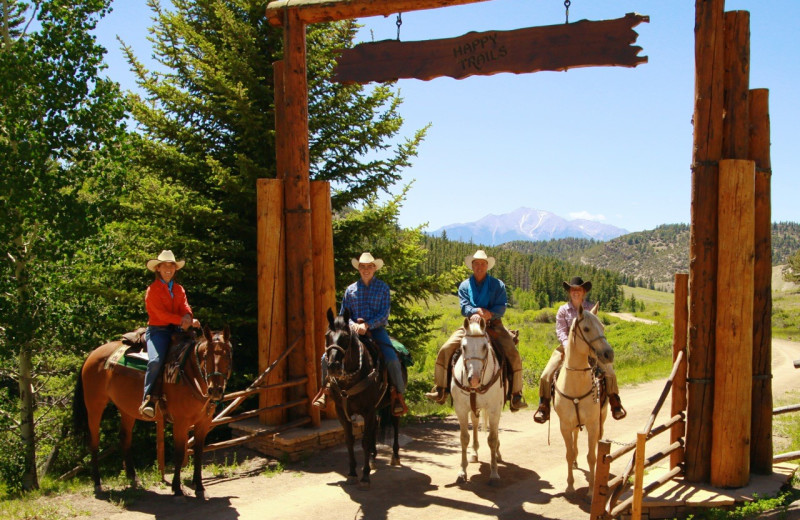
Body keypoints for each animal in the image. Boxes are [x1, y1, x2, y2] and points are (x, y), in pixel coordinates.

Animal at [72, 324, 233, 500]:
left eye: (228, 355)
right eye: (205, 356)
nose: (215, 390)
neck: (189, 374)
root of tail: (92, 354)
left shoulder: (203, 423)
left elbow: (198, 453)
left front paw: (200, 488)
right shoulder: (181, 422)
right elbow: (179, 454)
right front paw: (177, 489)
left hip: (126, 408)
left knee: (125, 437)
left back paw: (133, 478)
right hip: (95, 405)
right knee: (94, 442)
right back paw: (97, 483)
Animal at [322, 308, 404, 488]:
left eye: (346, 337)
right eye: (327, 336)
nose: (333, 366)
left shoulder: (368, 410)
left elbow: (364, 441)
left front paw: (365, 475)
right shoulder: (342, 411)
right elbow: (350, 440)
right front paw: (352, 473)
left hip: (392, 404)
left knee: (395, 424)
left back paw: (395, 456)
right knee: (375, 427)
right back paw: (373, 458)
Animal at [450, 316, 506, 488]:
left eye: (484, 346)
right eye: (463, 346)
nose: (473, 379)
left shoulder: (494, 408)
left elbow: (492, 439)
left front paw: (494, 474)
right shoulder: (461, 409)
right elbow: (464, 438)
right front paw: (462, 472)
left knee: (495, 429)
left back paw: (498, 453)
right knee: (474, 423)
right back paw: (474, 453)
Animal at [556, 300, 612, 492]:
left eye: (603, 326)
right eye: (586, 329)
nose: (609, 354)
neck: (576, 386)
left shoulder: (593, 424)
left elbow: (592, 456)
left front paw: (591, 489)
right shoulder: (565, 425)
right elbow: (568, 453)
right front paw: (570, 485)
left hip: (602, 418)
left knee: (597, 443)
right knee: (574, 441)